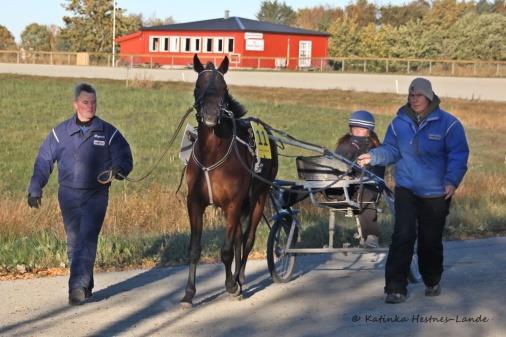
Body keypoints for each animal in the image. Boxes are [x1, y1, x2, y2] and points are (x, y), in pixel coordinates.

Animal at [181, 53, 276, 306]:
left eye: (224, 88)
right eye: (198, 87)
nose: (211, 116)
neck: (212, 153)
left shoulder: (233, 203)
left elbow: (225, 250)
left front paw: (232, 286)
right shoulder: (195, 203)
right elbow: (194, 249)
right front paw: (189, 293)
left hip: (259, 197)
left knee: (247, 239)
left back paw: (239, 279)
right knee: (237, 240)